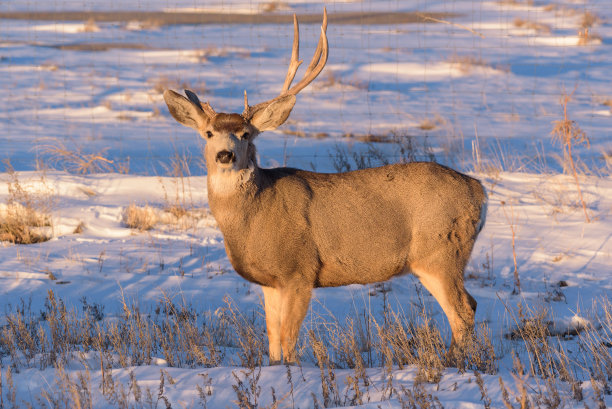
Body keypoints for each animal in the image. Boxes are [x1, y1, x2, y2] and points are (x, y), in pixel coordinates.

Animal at [163, 8, 488, 364]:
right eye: (208, 133)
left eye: (246, 134)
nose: (225, 154)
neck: (255, 215)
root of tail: (480, 192)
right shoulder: (270, 281)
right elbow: (273, 343)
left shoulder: (299, 270)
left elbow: (289, 342)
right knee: (470, 305)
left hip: (439, 251)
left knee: (463, 310)